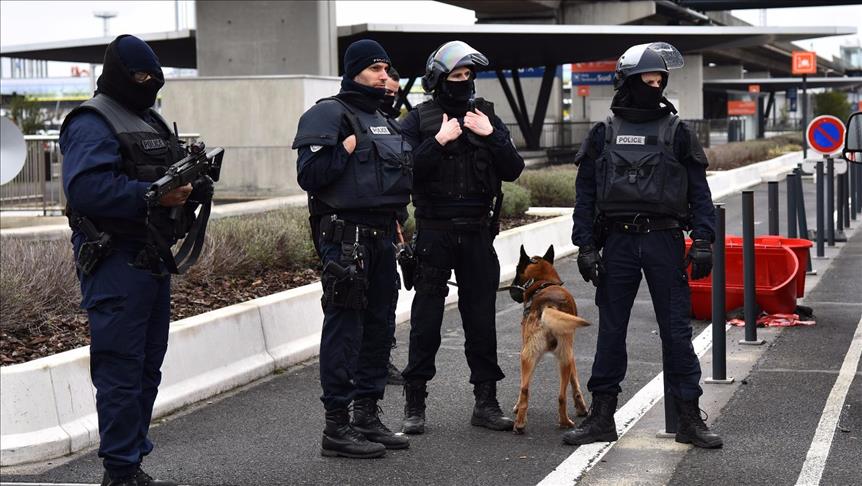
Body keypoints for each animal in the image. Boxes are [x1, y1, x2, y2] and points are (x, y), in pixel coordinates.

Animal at [508, 244, 590, 434]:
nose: (510, 291)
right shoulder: (571, 355)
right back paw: (565, 422)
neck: (542, 282)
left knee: (525, 389)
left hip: (527, 356)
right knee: (560, 396)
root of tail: (548, 305)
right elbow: (575, 382)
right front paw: (581, 408)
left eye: (517, 269)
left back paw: (520, 424)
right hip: (562, 358)